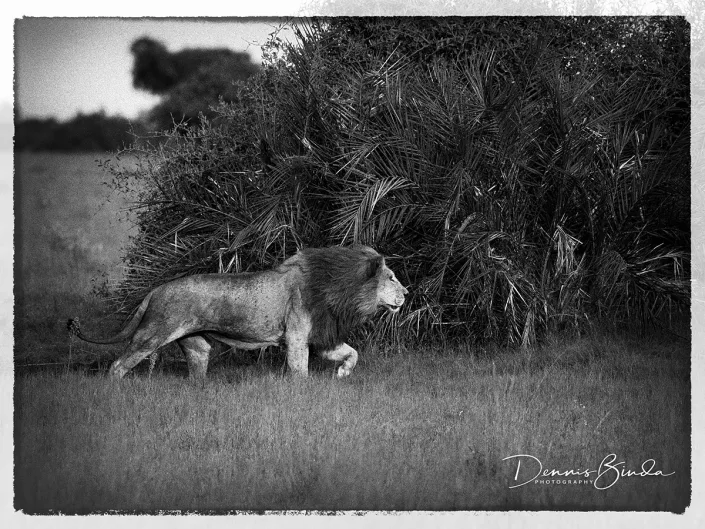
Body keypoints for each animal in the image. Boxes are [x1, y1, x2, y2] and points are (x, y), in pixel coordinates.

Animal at [67, 246, 408, 381]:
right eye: (391, 277)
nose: (407, 294)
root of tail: (157, 289)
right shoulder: (297, 336)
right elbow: (300, 370)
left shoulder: (321, 338)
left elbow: (353, 353)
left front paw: (342, 373)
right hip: (151, 336)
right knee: (117, 366)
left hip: (196, 346)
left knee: (196, 370)